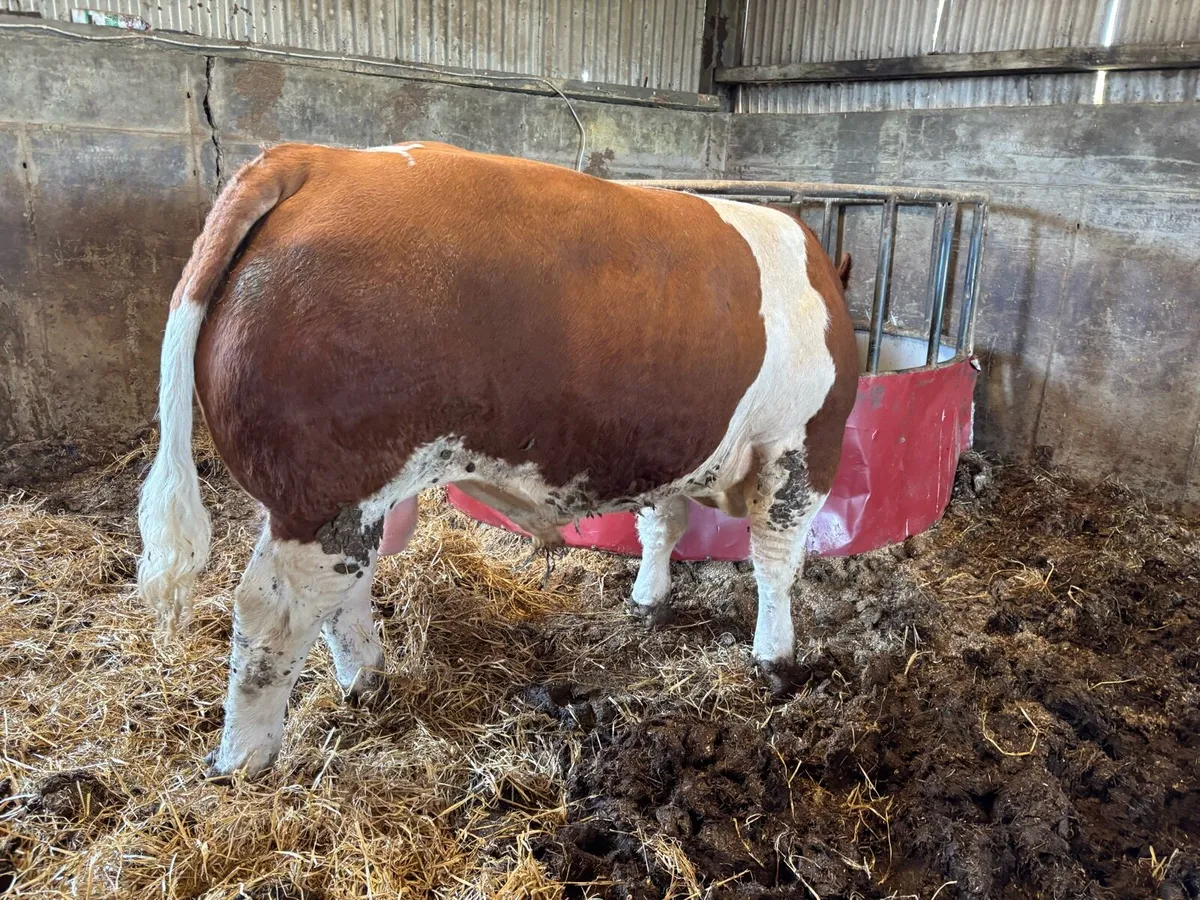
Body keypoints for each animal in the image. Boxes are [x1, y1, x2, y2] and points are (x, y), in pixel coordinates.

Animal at [136, 141, 858, 776]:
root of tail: (320, 160)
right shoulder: (803, 446)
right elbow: (776, 564)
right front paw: (776, 658)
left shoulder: (674, 446)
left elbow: (664, 526)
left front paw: (649, 601)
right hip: (323, 490)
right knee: (274, 612)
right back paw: (247, 758)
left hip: (347, 502)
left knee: (344, 592)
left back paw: (368, 680)